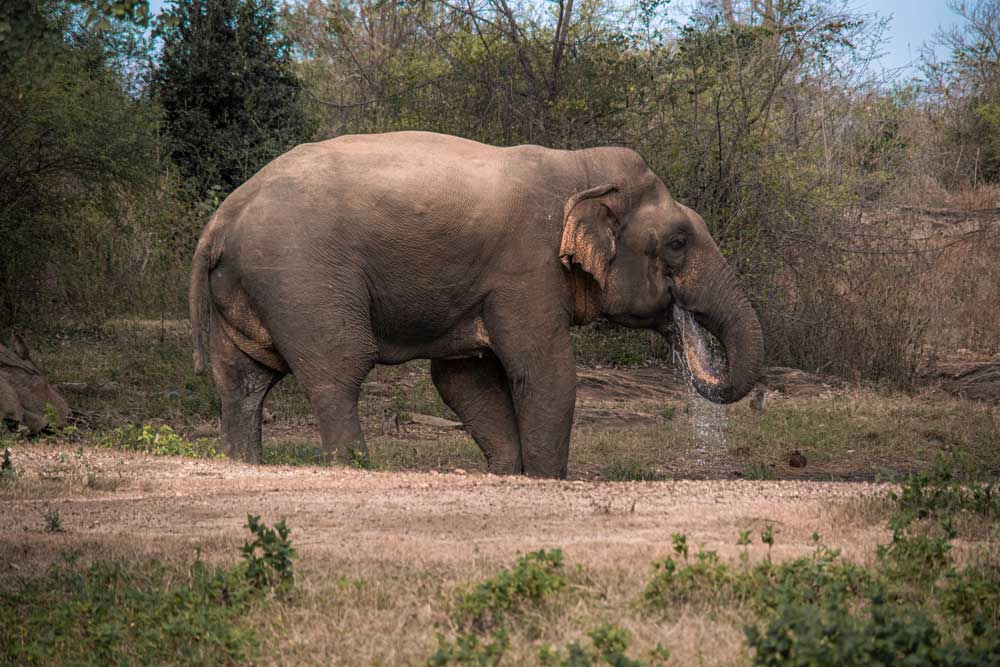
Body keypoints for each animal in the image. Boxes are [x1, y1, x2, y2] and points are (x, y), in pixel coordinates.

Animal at [189, 131, 763, 478]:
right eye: (678, 242)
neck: (579, 167)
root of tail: (220, 220)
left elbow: (464, 381)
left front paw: (509, 473)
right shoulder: (526, 269)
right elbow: (545, 370)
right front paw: (546, 478)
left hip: (247, 290)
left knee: (242, 381)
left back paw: (243, 464)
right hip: (303, 279)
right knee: (338, 369)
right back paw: (353, 466)